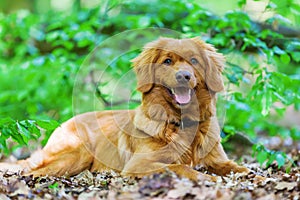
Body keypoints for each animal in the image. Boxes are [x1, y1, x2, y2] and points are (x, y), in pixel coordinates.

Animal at [0, 37, 248, 181]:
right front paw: (208, 179)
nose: (184, 76)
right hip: (76, 153)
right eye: (167, 61)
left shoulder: (217, 160)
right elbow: (180, 167)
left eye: (194, 61)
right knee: (30, 171)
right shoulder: (139, 164)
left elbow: (240, 168)